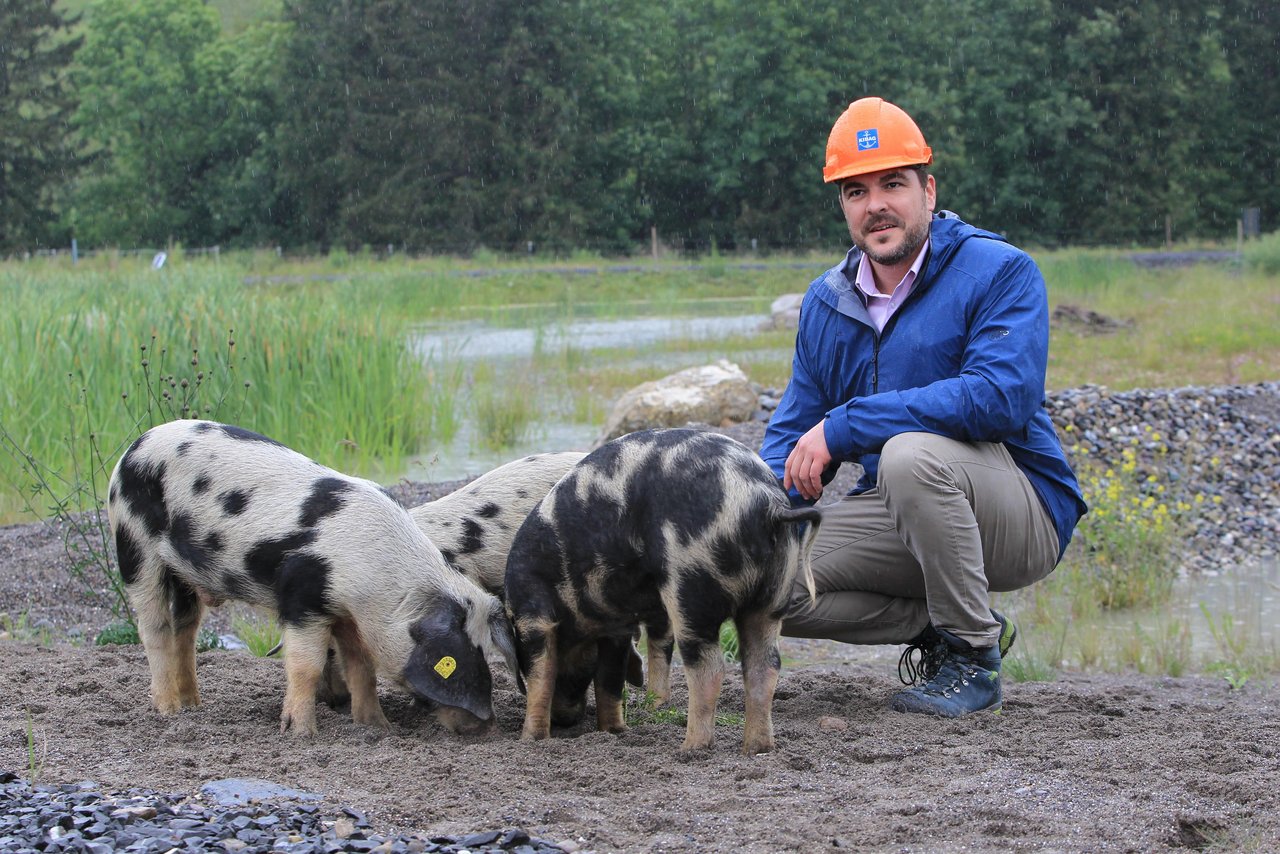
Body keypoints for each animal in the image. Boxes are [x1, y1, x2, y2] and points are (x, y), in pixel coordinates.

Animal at [107, 419, 519, 737]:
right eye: (460, 656)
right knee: (154, 627)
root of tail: (134, 446)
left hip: (184, 574)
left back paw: (194, 705)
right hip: (133, 543)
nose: (489, 727)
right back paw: (169, 711)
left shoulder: (350, 615)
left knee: (186, 629)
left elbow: (361, 667)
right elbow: (305, 666)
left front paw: (377, 728)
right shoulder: (301, 599)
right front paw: (301, 733)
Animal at [501, 427, 819, 752]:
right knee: (764, 667)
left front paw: (529, 739)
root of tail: (765, 501)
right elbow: (609, 683)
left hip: (689, 585)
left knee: (710, 669)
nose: (566, 720)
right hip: (774, 594)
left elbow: (541, 678)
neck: (582, 619)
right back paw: (757, 749)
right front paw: (613, 732)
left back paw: (690, 749)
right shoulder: (616, 627)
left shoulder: (533, 616)